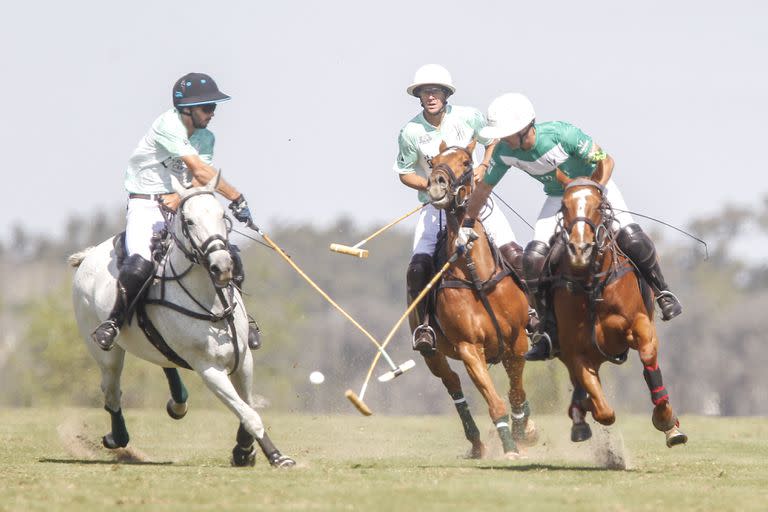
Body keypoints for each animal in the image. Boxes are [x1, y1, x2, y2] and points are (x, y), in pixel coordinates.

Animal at [420, 142, 540, 458]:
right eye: (432, 162)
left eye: (465, 161)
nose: (436, 185)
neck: (476, 275)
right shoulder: (468, 347)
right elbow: (495, 401)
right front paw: (509, 444)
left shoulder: (516, 341)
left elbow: (516, 392)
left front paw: (523, 430)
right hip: (432, 354)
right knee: (452, 383)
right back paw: (476, 443)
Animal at [548, 167, 688, 448]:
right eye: (564, 206)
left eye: (599, 206)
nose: (580, 250)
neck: (593, 285)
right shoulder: (575, 349)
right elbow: (603, 410)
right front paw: (584, 411)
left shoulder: (640, 324)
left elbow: (648, 357)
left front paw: (666, 420)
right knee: (579, 386)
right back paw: (579, 417)